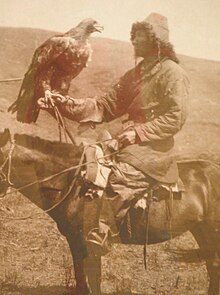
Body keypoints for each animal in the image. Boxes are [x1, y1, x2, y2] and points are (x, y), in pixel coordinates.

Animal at [0, 129, 220, 295]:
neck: (73, 183)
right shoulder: (75, 242)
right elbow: (85, 281)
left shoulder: (87, 242)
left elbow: (91, 281)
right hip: (201, 231)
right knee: (212, 267)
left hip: (211, 231)